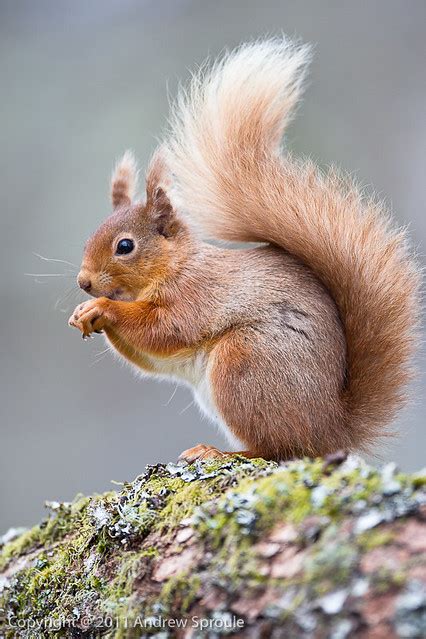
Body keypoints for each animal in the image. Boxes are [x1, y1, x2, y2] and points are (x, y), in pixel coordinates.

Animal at [69, 37, 420, 462]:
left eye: (125, 246)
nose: (84, 282)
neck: (176, 266)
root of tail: (331, 430)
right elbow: (150, 358)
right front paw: (82, 313)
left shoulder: (196, 295)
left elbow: (164, 328)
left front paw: (103, 308)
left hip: (245, 365)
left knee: (276, 449)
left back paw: (218, 452)